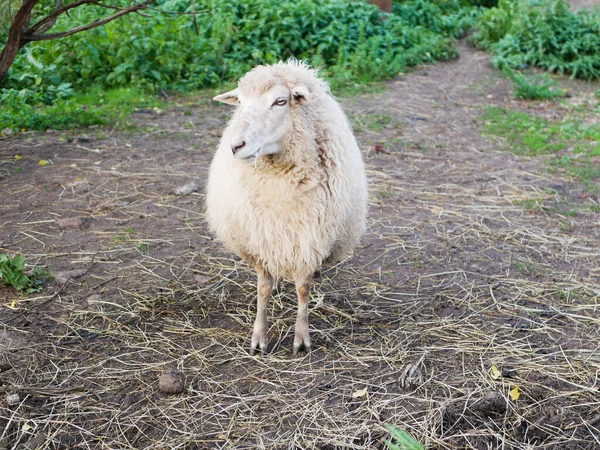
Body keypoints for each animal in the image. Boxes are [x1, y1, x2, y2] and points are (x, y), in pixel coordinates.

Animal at [205, 60, 366, 356]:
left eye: (280, 101)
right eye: (240, 102)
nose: (236, 146)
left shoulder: (310, 236)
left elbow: (303, 288)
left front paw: (301, 338)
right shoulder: (259, 237)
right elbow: (263, 288)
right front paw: (259, 337)